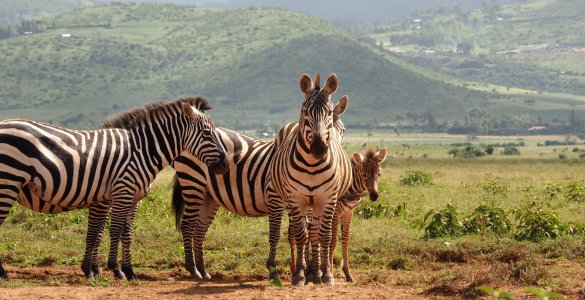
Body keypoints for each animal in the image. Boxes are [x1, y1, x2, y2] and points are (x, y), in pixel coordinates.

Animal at [0, 97, 227, 280]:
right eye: (207, 133)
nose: (225, 164)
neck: (142, 150)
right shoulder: (121, 192)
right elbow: (112, 230)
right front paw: (114, 270)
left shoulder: (132, 197)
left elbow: (122, 232)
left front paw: (126, 270)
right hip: (8, 182)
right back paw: (3, 274)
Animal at [169, 96, 350, 282]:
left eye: (342, 130)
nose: (322, 151)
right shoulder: (277, 198)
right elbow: (284, 233)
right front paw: (292, 271)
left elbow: (302, 233)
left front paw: (307, 271)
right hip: (193, 183)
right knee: (187, 225)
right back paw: (193, 270)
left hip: (209, 196)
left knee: (199, 230)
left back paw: (203, 271)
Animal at [266, 72, 352, 286]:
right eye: (305, 111)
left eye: (328, 113)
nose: (319, 148)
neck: (312, 164)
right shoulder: (297, 198)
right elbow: (300, 234)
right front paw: (300, 273)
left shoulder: (328, 198)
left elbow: (324, 235)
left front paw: (325, 273)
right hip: (284, 198)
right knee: (286, 232)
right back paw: (291, 269)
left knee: (314, 231)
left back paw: (315, 270)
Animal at [288, 146, 388, 282]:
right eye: (364, 174)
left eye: (379, 174)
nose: (374, 196)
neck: (351, 187)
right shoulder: (335, 213)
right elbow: (333, 240)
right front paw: (329, 270)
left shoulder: (348, 213)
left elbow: (345, 240)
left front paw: (347, 273)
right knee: (292, 236)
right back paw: (295, 270)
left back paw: (308, 269)